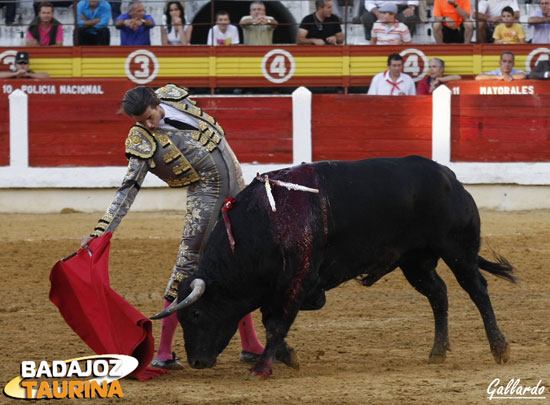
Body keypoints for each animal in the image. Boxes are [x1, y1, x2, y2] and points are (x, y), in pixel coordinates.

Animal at [152, 155, 516, 378]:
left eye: (196, 314)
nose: (197, 362)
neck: (264, 222)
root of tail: (450, 176)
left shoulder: (297, 280)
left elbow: (276, 323)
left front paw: (264, 366)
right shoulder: (282, 288)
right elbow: (271, 319)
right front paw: (286, 356)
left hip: (458, 251)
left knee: (477, 290)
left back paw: (500, 349)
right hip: (415, 262)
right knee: (438, 294)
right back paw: (438, 351)